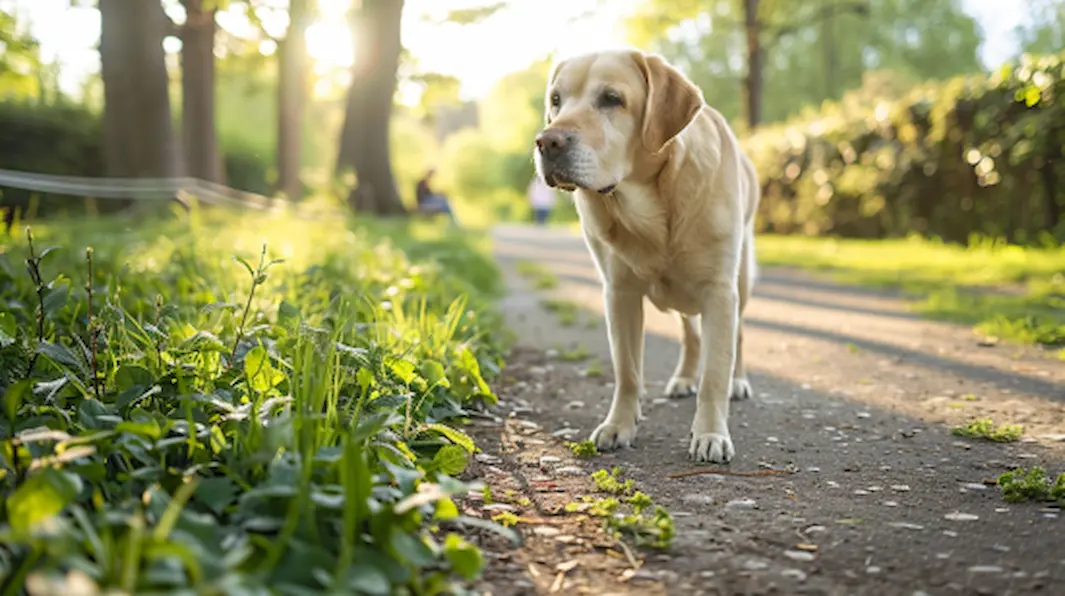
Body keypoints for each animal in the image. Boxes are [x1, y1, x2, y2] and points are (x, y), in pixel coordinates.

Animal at [532, 48, 758, 464]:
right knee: (691, 335)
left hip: (740, 281)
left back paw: (738, 381)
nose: (546, 141)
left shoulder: (719, 291)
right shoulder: (619, 293)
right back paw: (683, 378)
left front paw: (711, 434)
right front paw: (619, 425)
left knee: (737, 336)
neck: (648, 203)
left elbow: (714, 375)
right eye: (556, 100)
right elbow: (627, 371)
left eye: (611, 99)